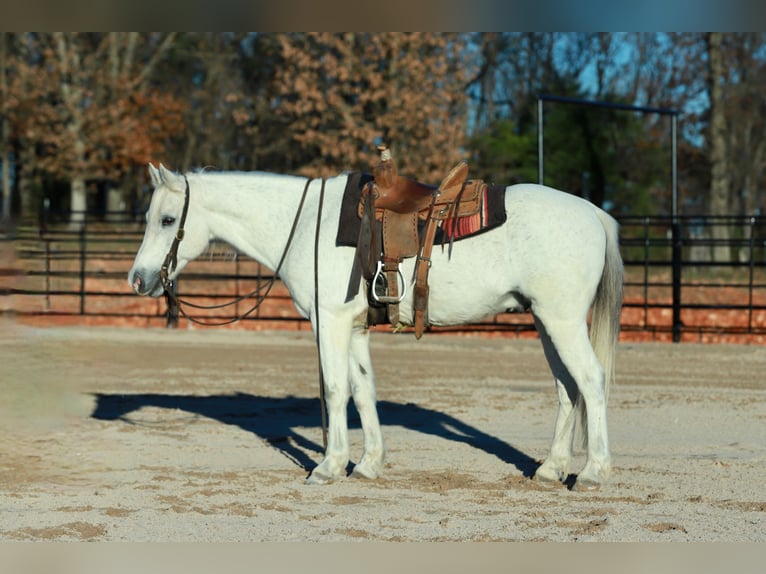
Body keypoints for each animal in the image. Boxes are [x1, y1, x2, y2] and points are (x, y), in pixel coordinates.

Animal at [128, 163, 623, 491]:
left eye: (167, 220)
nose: (137, 279)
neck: (307, 225)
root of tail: (593, 214)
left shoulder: (329, 321)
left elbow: (334, 390)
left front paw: (329, 466)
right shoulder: (355, 327)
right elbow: (363, 389)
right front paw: (368, 464)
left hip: (560, 321)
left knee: (591, 380)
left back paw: (593, 472)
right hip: (545, 321)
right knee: (567, 388)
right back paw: (550, 469)